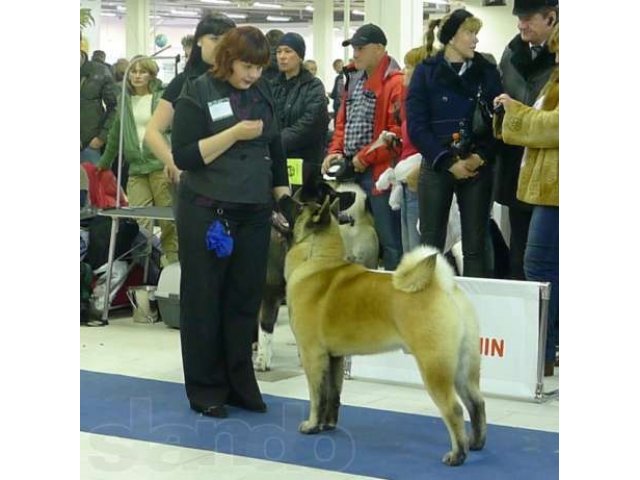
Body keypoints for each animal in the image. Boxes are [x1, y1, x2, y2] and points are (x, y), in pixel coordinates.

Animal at [284, 183, 484, 464]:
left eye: (300, 206)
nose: (284, 197)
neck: (318, 259)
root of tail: (442, 287)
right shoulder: (334, 358)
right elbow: (332, 394)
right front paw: (328, 425)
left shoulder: (313, 355)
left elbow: (317, 395)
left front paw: (312, 425)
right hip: (464, 369)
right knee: (476, 403)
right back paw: (476, 443)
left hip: (434, 367)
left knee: (454, 409)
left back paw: (457, 455)